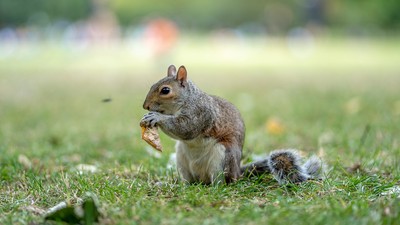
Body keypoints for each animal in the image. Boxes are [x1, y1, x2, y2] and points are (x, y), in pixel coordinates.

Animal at [139, 65, 324, 185]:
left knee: (222, 181)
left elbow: (186, 128)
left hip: (222, 157)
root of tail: (238, 172)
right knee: (189, 181)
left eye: (165, 90)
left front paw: (157, 117)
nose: (145, 106)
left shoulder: (201, 113)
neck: (187, 99)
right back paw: (178, 185)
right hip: (182, 158)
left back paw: (214, 188)